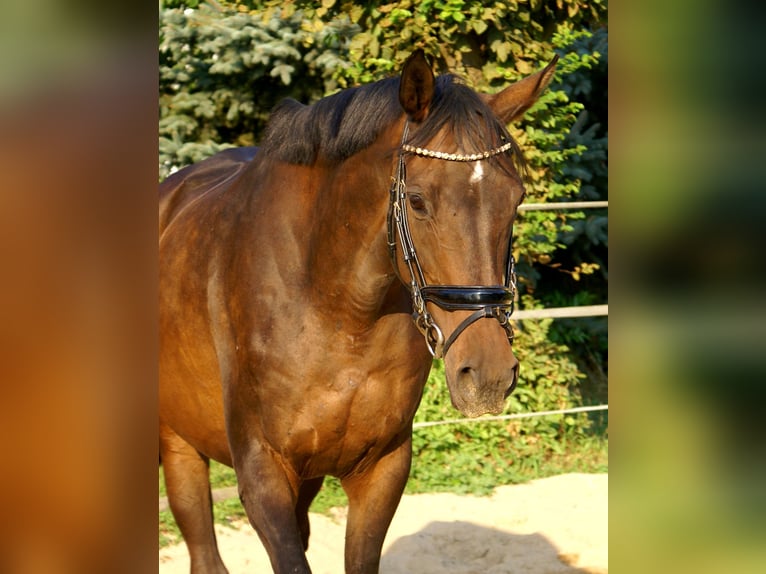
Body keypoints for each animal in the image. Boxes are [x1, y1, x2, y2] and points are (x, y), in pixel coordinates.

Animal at [160, 50, 560, 574]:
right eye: (418, 201)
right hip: (177, 444)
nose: (488, 375)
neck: (338, 312)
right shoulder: (263, 475)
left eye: (515, 201)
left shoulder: (382, 469)